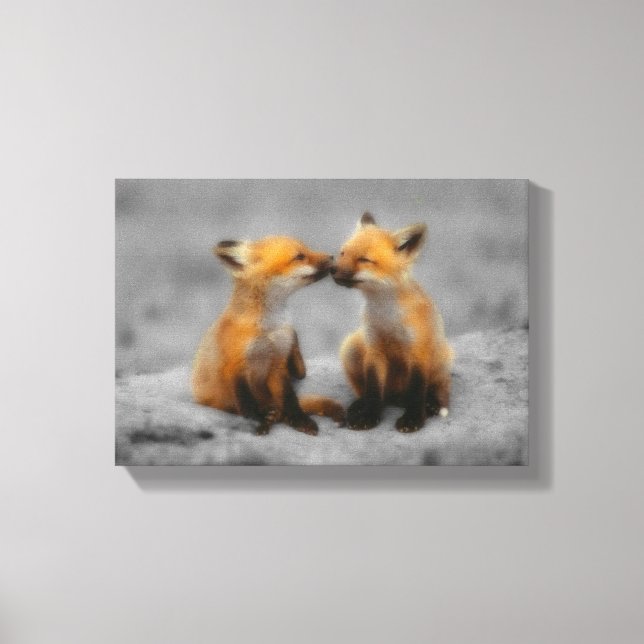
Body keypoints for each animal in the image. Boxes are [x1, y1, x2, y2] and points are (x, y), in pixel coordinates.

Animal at [192, 235, 345, 436]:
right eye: (299, 256)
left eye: (306, 249)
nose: (332, 256)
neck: (268, 329)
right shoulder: (235, 367)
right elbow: (246, 403)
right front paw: (257, 420)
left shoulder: (277, 363)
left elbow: (290, 398)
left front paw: (299, 419)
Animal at [331, 212, 453, 433]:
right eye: (343, 253)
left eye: (364, 259)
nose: (331, 268)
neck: (387, 316)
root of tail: (397, 395)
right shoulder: (374, 349)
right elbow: (373, 391)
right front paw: (369, 416)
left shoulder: (418, 351)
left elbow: (416, 391)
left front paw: (413, 419)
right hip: (351, 347)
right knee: (376, 394)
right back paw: (360, 404)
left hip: (442, 357)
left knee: (440, 388)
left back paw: (433, 404)